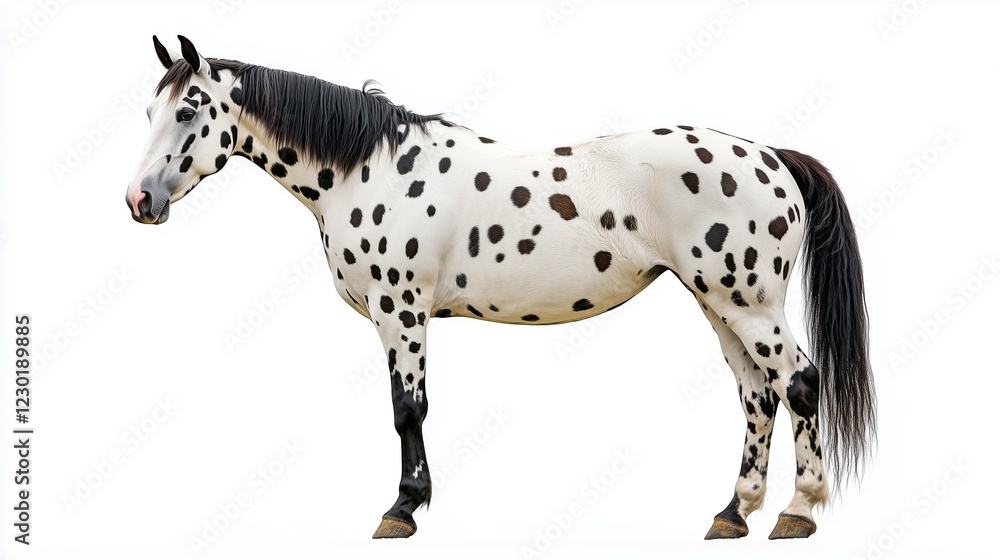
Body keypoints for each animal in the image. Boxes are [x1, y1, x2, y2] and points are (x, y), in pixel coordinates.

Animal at [125, 36, 876, 544]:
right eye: (149, 110)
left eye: (190, 110)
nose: (139, 201)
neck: (369, 169)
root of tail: (771, 156)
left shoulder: (402, 313)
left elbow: (408, 409)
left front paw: (402, 509)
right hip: (721, 304)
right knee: (758, 395)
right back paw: (732, 512)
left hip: (749, 303)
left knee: (799, 381)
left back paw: (798, 511)